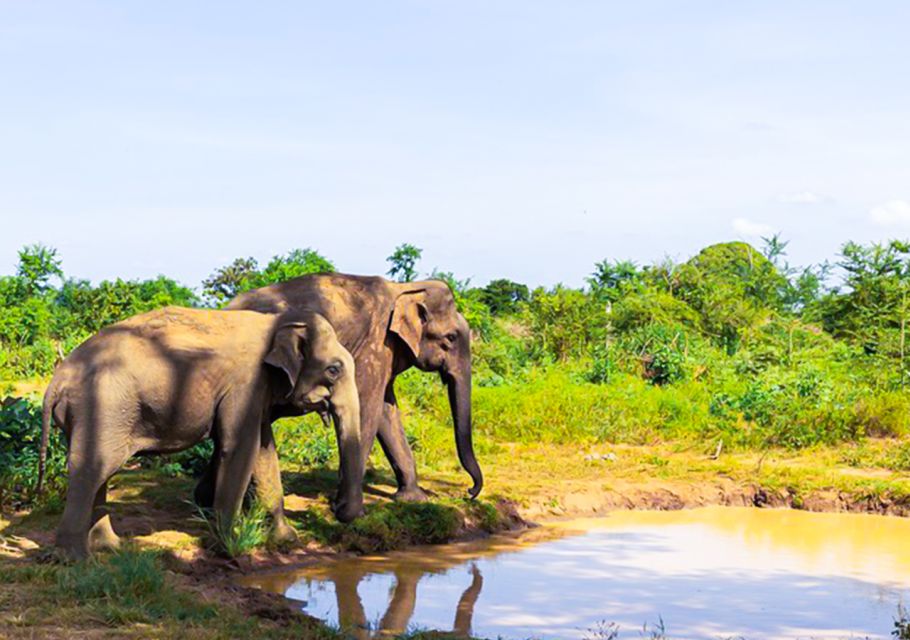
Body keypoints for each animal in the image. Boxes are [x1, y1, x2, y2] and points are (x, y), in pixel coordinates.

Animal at [35, 308, 366, 556]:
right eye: (334, 369)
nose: (337, 507)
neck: (276, 321)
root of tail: (57, 381)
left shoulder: (257, 392)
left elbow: (264, 451)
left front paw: (286, 541)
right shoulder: (245, 384)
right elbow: (240, 448)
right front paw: (229, 546)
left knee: (100, 469)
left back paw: (110, 547)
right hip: (104, 405)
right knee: (92, 468)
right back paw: (75, 558)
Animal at [195, 272, 484, 528]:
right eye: (451, 338)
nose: (468, 492)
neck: (405, 288)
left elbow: (386, 411)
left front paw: (413, 500)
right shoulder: (375, 346)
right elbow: (368, 408)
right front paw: (348, 511)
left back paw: (203, 503)